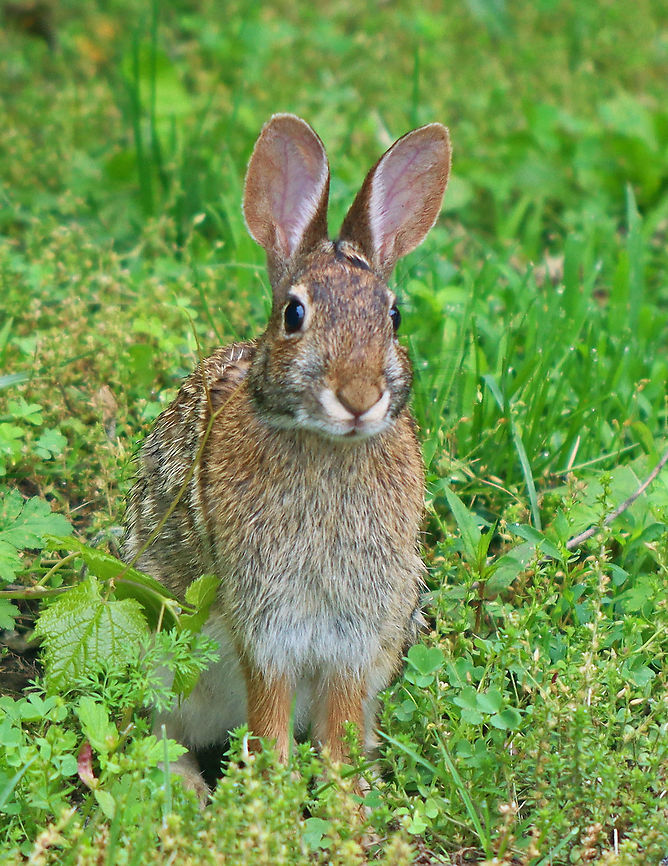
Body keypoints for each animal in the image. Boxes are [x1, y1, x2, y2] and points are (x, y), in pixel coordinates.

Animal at [122, 114, 451, 799]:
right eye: (294, 314)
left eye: (394, 316)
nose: (359, 397)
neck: (326, 449)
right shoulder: (266, 624)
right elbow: (269, 725)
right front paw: (268, 806)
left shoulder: (358, 633)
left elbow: (339, 740)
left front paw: (348, 810)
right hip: (165, 656)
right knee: (162, 734)